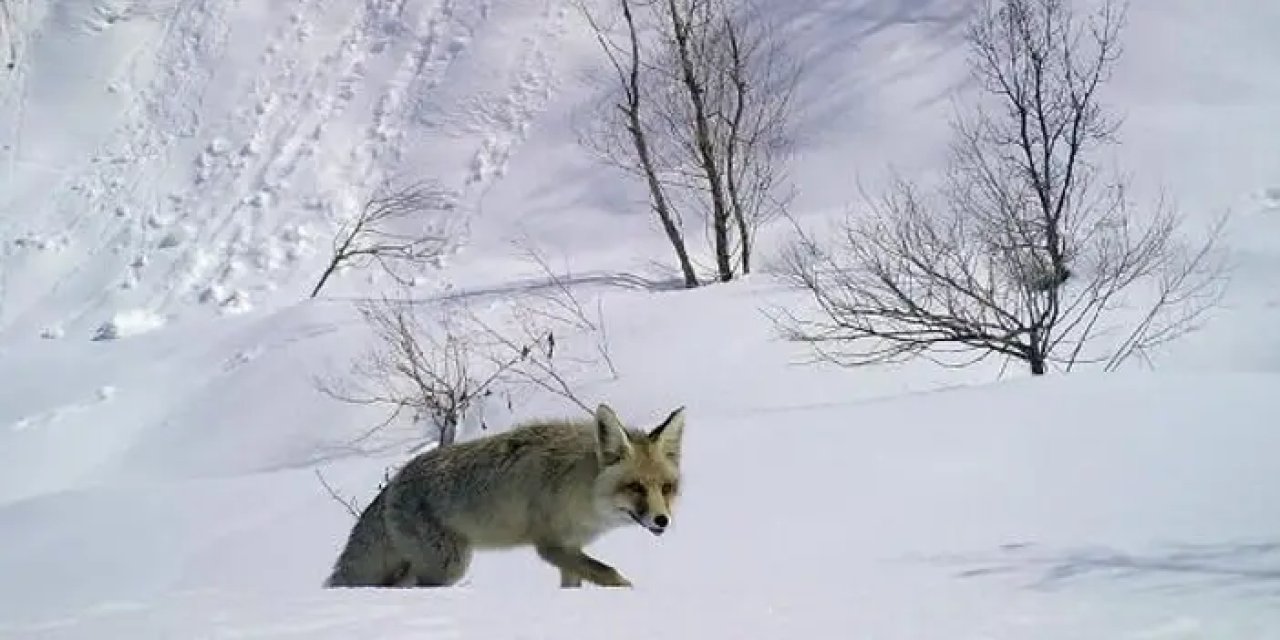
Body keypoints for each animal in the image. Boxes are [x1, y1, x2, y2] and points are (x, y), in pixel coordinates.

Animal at [327, 401, 691, 586]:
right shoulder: (551, 546)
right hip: (448, 567)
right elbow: (611, 575)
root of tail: (394, 482)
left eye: (666, 488)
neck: (581, 488)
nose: (662, 520)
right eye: (635, 487)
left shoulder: (570, 551)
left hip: (417, 567)